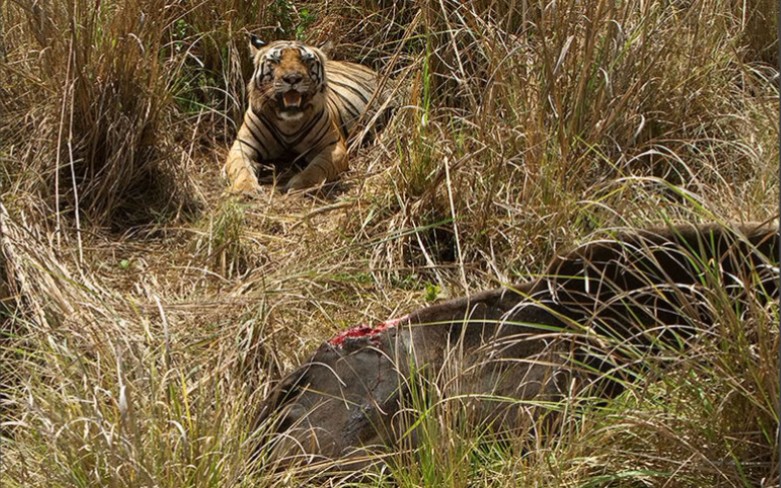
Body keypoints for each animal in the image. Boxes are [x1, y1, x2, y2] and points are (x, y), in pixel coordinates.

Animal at [224, 36, 386, 193]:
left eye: (306, 61)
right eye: (275, 61)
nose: (292, 78)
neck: (288, 124)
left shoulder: (333, 146)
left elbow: (316, 168)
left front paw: (298, 185)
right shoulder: (242, 145)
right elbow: (240, 167)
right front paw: (246, 188)